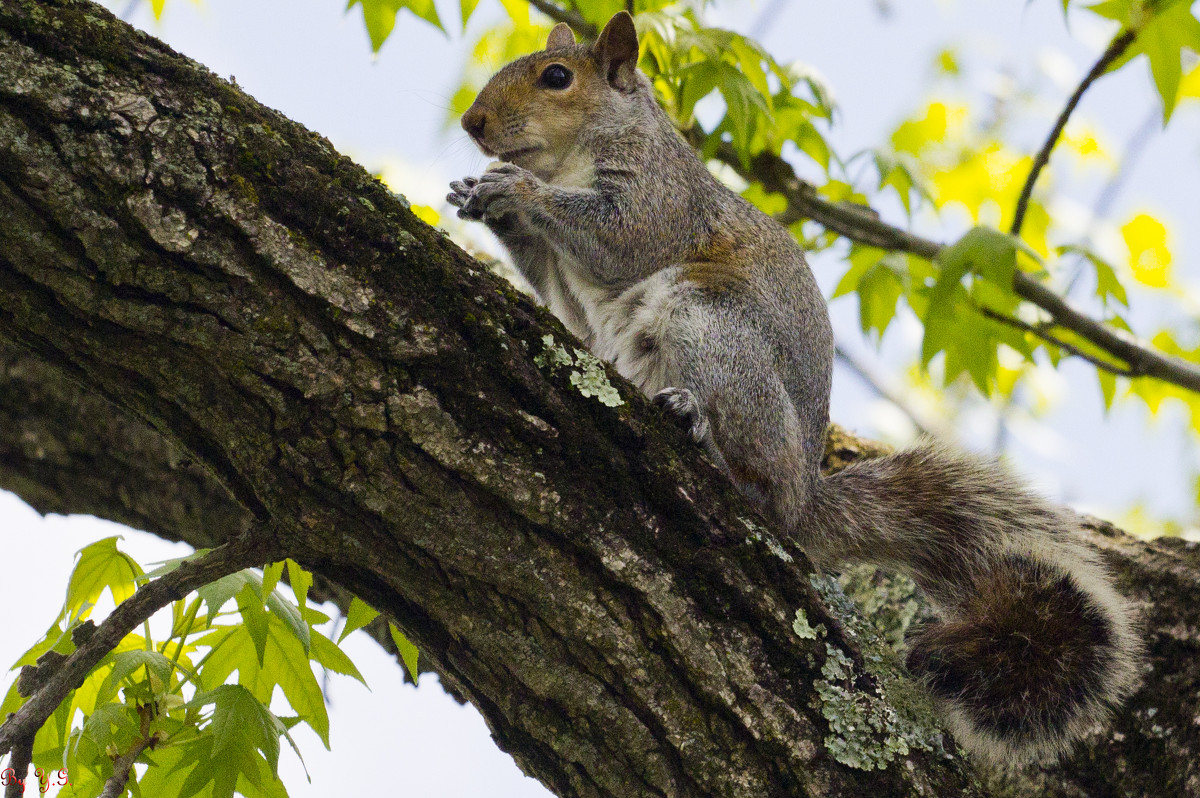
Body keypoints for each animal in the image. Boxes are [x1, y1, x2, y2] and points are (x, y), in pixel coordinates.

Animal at [446, 9, 1137, 763]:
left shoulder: (659, 199)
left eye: (556, 77)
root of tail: (807, 493)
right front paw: (480, 198)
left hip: (709, 327)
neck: (584, 151)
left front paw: (515, 191)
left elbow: (620, 237)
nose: (473, 122)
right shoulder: (572, 290)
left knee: (759, 490)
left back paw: (701, 433)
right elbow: (564, 302)